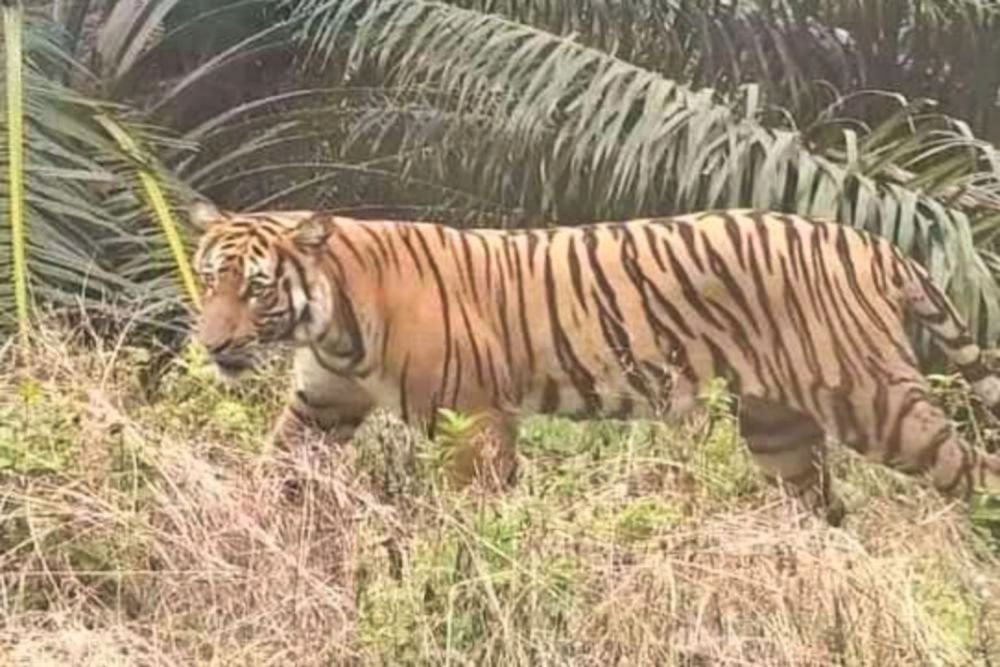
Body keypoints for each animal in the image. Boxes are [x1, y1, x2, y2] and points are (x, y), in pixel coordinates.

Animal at [189, 201, 1000, 524]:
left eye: (255, 287)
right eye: (208, 278)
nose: (212, 344)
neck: (330, 323)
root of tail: (871, 240)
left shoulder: (473, 417)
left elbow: (473, 508)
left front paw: (468, 558)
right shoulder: (322, 404)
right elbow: (277, 467)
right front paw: (241, 526)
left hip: (880, 404)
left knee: (975, 469)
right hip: (780, 429)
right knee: (824, 506)